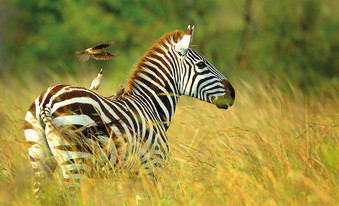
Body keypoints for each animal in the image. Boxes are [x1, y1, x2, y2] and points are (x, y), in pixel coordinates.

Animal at [24, 25, 236, 199]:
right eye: (201, 65)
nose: (232, 93)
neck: (151, 104)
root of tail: (46, 100)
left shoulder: (126, 174)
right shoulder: (151, 167)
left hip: (40, 159)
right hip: (76, 163)